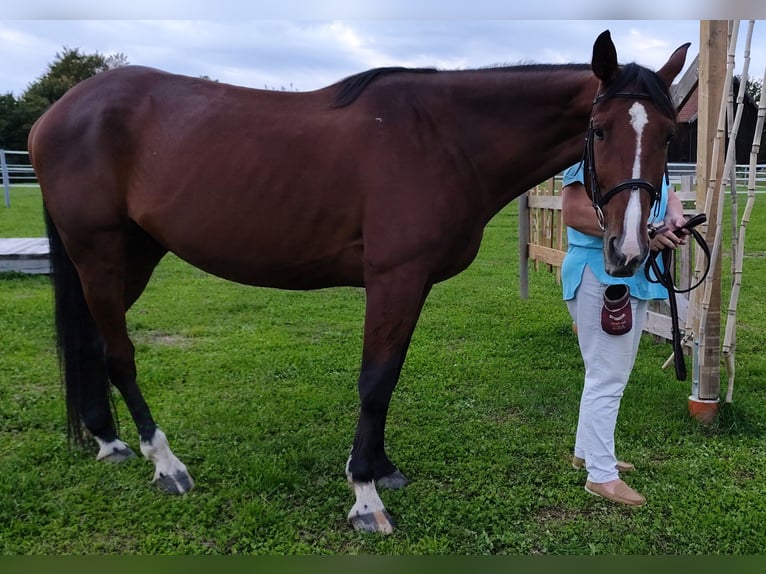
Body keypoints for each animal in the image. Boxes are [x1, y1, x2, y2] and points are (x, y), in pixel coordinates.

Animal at [28, 31, 688, 536]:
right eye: (599, 130)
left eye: (666, 133)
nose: (629, 251)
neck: (444, 137)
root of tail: (58, 113)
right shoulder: (393, 278)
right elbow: (374, 381)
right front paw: (366, 498)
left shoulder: (412, 285)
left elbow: (388, 378)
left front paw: (378, 465)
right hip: (100, 254)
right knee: (119, 354)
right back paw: (164, 464)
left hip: (132, 256)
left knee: (92, 343)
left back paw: (108, 442)